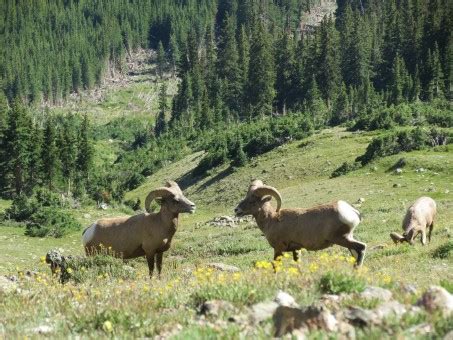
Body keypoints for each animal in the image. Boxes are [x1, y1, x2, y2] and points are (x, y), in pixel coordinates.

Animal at [235, 181, 366, 266]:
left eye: (252, 201)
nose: (236, 210)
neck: (272, 219)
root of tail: (352, 211)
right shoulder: (296, 250)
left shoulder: (278, 249)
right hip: (347, 239)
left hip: (341, 238)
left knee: (361, 247)